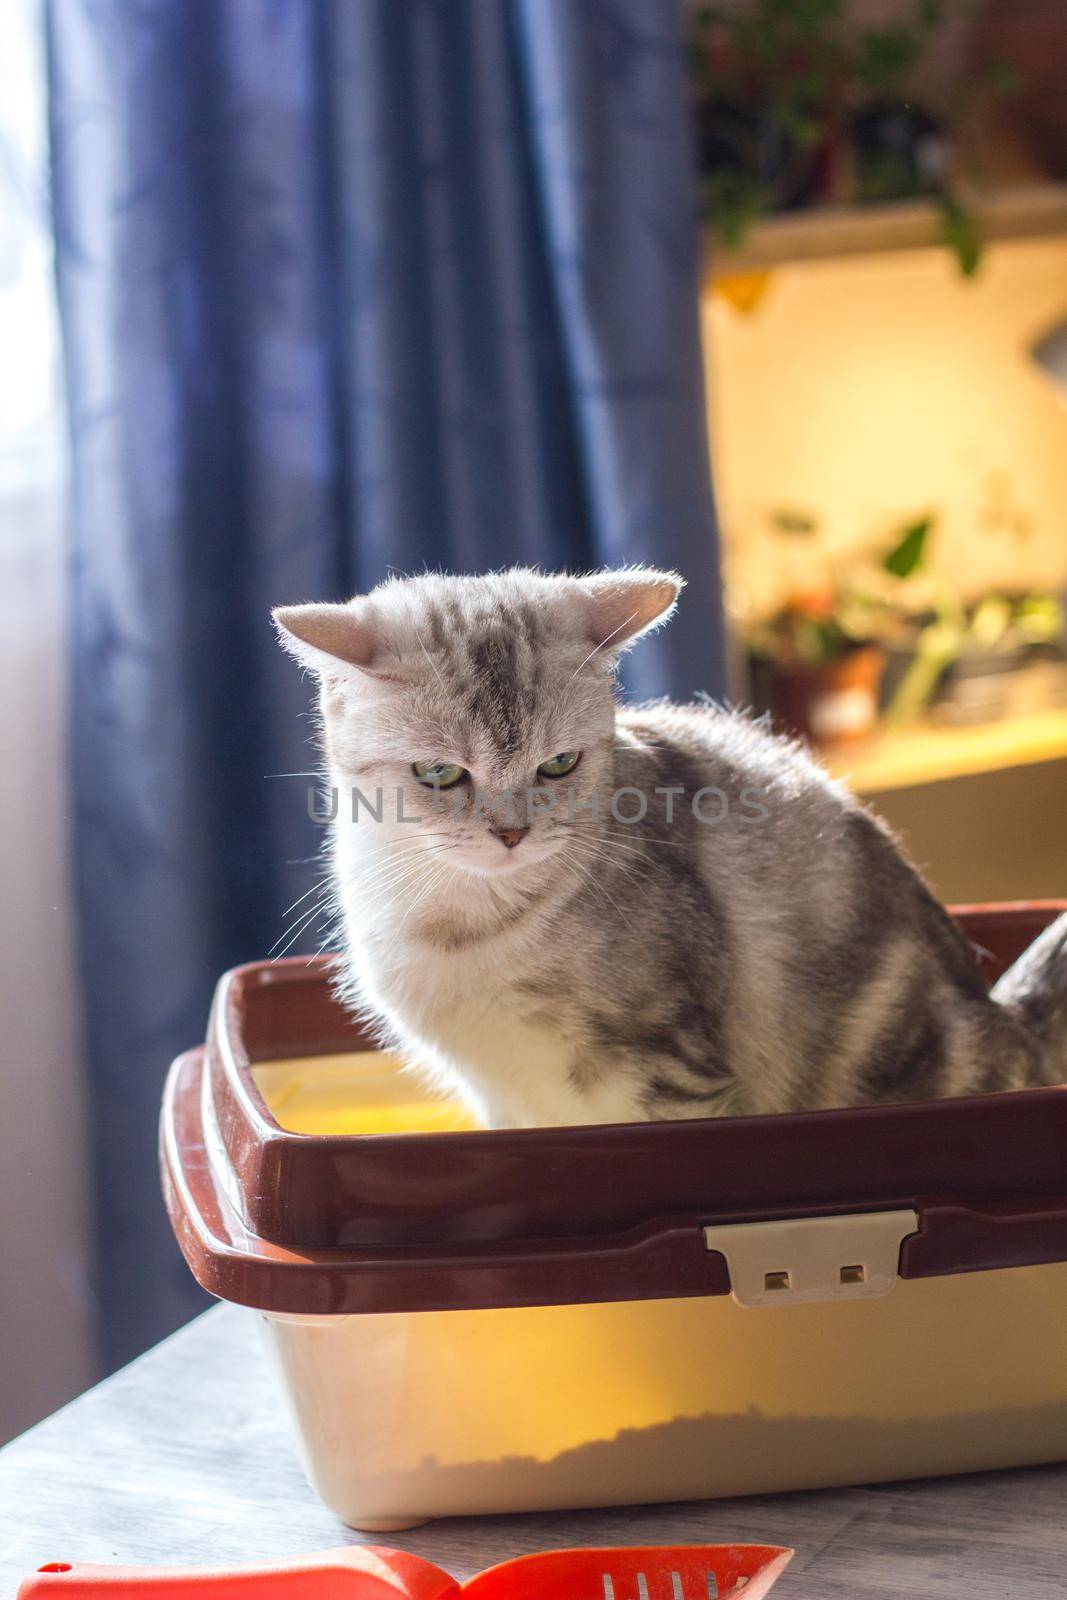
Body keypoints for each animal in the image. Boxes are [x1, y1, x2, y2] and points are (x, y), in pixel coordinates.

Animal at [275, 569, 1067, 1132]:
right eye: (439, 773)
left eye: (558, 764)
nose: (511, 833)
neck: (458, 923)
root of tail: (1008, 1018)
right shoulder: (499, 1099)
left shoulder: (671, 1068)